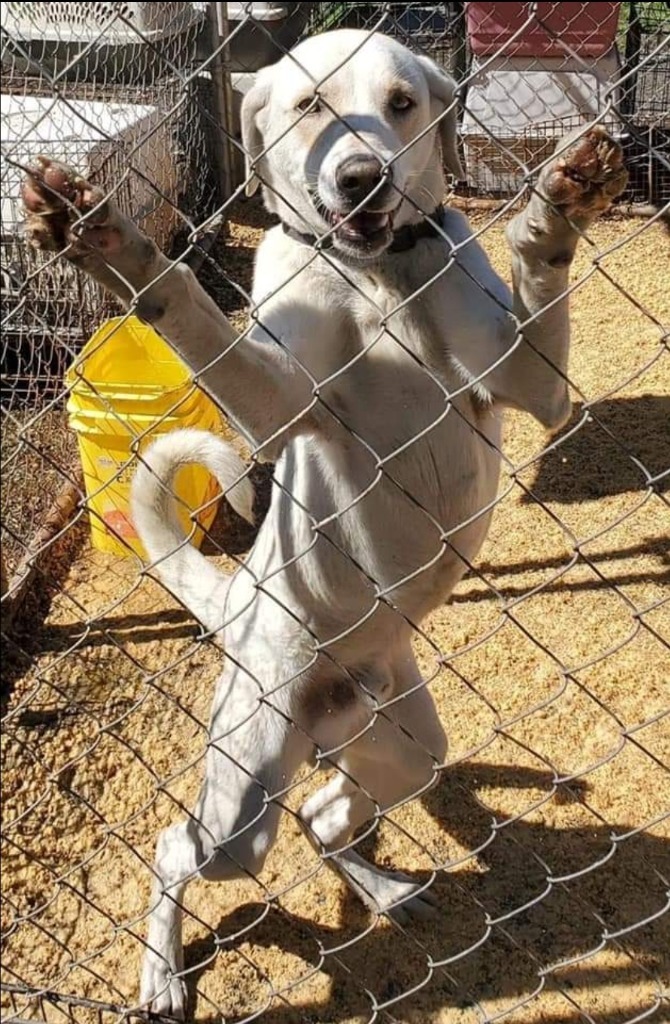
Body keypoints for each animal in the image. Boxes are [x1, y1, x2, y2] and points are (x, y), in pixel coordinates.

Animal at [22, 29, 631, 1015]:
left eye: (401, 104)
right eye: (310, 106)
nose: (360, 179)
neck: (373, 272)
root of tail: (239, 604)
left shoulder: (535, 388)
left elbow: (540, 299)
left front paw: (555, 210)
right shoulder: (280, 406)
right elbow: (197, 320)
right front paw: (114, 250)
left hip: (407, 746)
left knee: (322, 815)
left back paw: (382, 889)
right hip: (242, 803)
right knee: (177, 847)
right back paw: (162, 973)